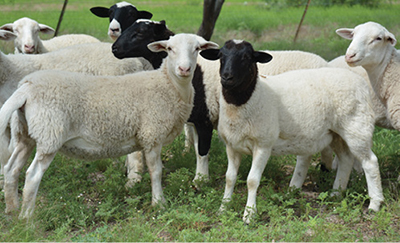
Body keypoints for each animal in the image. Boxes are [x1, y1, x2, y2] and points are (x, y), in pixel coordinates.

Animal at [0, 32, 219, 218]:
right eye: (170, 49)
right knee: (32, 176)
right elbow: (156, 171)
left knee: (12, 169)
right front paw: (159, 203)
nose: (184, 69)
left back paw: (12, 210)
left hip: (25, 134)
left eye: (197, 49)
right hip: (49, 134)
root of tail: (26, 86)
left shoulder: (146, 136)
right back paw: (27, 218)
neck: (169, 85)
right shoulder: (152, 135)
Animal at [111, 19, 332, 186]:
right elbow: (198, 147)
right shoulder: (198, 120)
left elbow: (202, 151)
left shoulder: (205, 118)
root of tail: (326, 63)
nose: (114, 48)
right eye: (170, 47)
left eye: (140, 33)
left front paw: (200, 180)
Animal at [202, 39, 382, 224]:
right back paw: (336, 194)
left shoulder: (263, 144)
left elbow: (252, 180)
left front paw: (249, 215)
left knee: (370, 162)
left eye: (246, 57)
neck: (252, 97)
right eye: (221, 56)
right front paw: (223, 208)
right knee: (346, 159)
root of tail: (360, 81)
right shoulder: (232, 146)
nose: (226, 77)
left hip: (357, 127)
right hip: (336, 133)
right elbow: (230, 178)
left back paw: (374, 204)